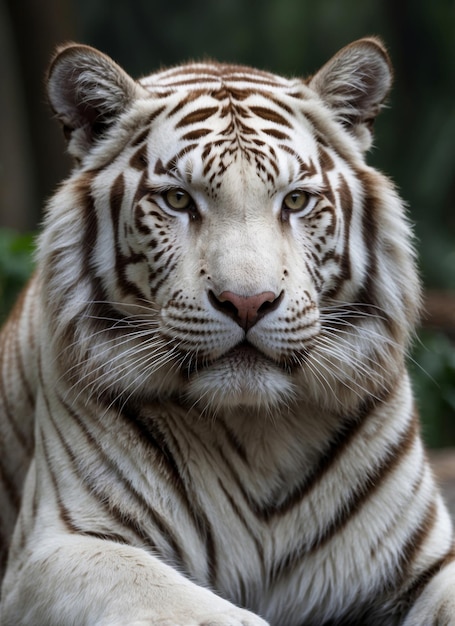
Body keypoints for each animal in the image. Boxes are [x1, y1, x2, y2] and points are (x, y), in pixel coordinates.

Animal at [0, 36, 455, 620]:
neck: (257, 430)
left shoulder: (423, 559)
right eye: (177, 200)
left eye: (295, 200)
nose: (247, 303)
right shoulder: (59, 546)